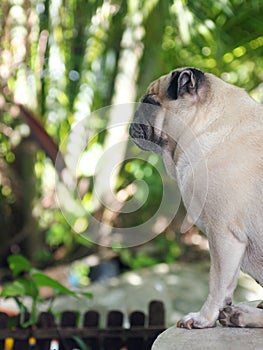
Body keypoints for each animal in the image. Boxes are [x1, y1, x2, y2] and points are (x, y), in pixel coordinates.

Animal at [130, 67, 263, 330]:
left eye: (149, 103)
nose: (133, 116)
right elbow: (228, 284)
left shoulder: (223, 234)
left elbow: (217, 283)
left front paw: (204, 318)